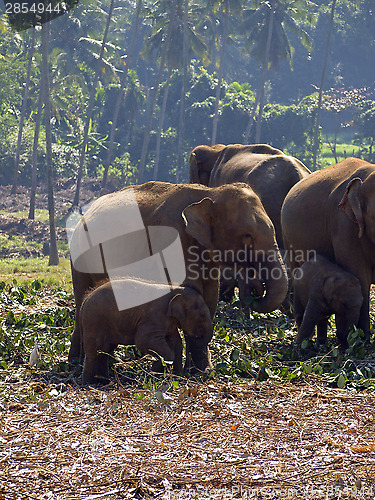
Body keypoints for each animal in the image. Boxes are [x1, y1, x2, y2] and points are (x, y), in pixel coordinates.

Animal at [68, 180, 288, 372]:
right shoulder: (170, 240)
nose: (256, 290)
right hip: (78, 256)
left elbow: (209, 297)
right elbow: (187, 288)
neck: (210, 192)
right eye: (247, 235)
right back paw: (77, 362)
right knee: (81, 301)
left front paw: (201, 370)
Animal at [80, 280, 213, 384]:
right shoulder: (154, 316)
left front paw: (177, 375)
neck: (175, 289)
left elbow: (176, 342)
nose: (206, 371)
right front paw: (156, 368)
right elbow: (143, 340)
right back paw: (88, 383)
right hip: (93, 321)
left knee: (105, 351)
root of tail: (85, 299)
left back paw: (104, 380)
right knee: (93, 351)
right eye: (202, 316)